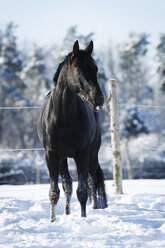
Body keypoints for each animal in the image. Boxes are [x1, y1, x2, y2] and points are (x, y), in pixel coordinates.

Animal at [38, 40, 107, 221]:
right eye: (78, 69)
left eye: (95, 68)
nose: (99, 99)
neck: (64, 118)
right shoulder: (51, 155)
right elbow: (54, 192)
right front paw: (52, 220)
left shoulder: (82, 154)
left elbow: (82, 191)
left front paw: (83, 218)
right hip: (63, 158)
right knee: (67, 184)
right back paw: (67, 212)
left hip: (92, 155)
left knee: (92, 180)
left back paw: (95, 207)